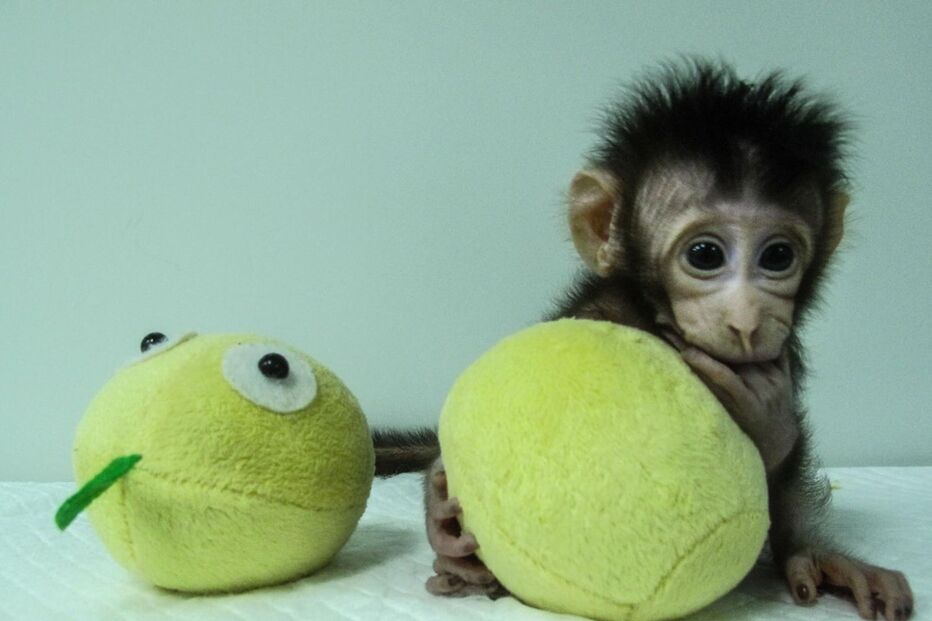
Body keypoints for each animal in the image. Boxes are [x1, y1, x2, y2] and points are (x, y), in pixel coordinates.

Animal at [374, 59, 914, 621]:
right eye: (704, 254)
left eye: (778, 256)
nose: (747, 319)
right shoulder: (597, 311)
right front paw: (442, 516)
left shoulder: (787, 350)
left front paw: (817, 549)